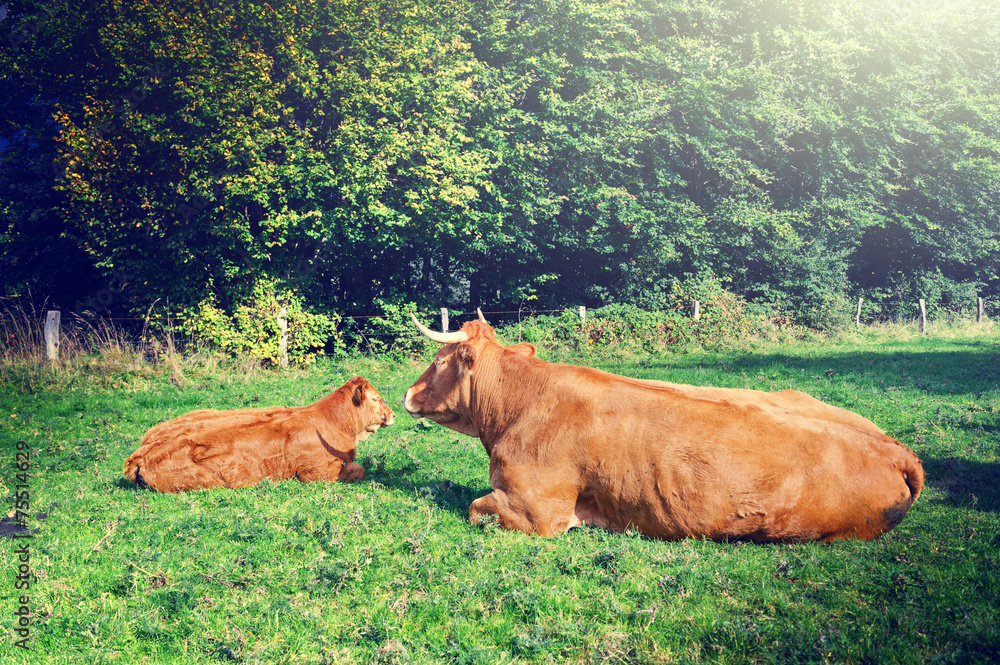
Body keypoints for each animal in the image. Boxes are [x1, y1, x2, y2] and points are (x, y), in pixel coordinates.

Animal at [123, 376, 392, 490]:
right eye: (376, 398)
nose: (392, 414)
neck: (332, 422)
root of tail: (141, 456)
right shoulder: (317, 472)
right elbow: (359, 470)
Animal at [400, 316, 920, 540]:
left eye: (439, 359)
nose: (406, 393)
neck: (519, 405)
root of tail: (896, 450)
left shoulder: (536, 509)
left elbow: (474, 508)